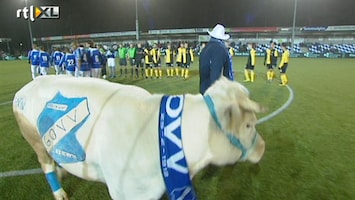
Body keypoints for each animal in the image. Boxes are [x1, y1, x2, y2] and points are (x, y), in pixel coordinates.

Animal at [12, 75, 266, 200]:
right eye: (248, 124)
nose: (263, 147)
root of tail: (27, 87)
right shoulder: (125, 192)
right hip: (34, 139)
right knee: (45, 164)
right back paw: (60, 193)